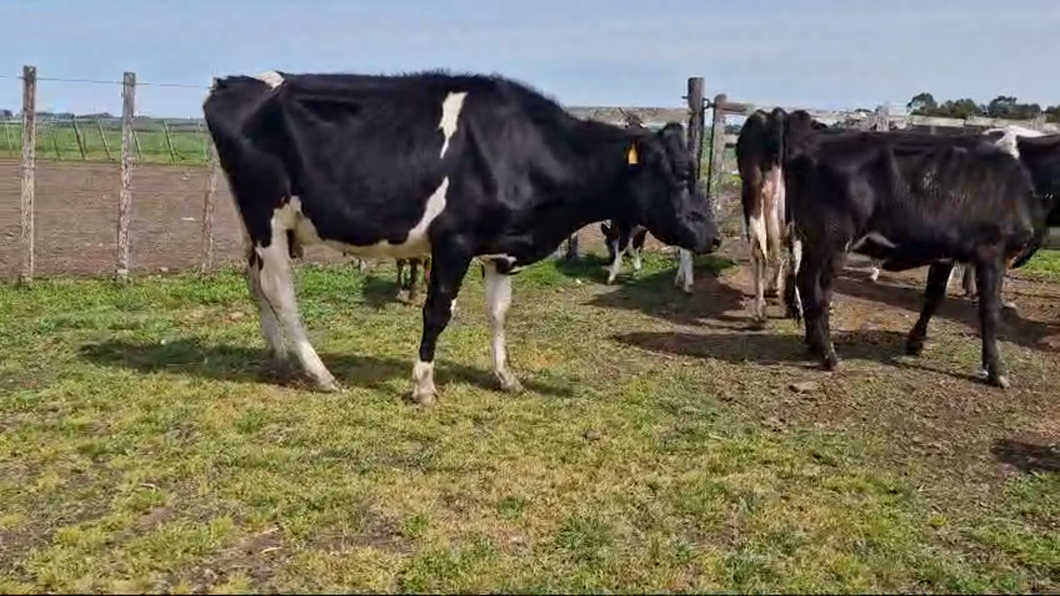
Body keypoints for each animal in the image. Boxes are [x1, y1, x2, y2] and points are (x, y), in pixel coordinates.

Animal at [203, 69, 725, 402]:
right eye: (681, 174)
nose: (714, 236)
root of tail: (230, 83)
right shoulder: (453, 242)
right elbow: (438, 313)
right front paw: (422, 384)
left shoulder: (499, 250)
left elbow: (499, 313)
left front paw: (506, 376)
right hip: (268, 218)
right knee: (281, 291)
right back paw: (320, 373)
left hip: (255, 225)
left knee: (255, 284)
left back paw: (279, 356)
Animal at [780, 125, 1051, 390]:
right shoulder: (993, 253)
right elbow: (990, 311)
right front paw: (996, 372)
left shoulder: (945, 255)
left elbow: (933, 296)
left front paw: (915, 343)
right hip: (833, 241)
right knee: (818, 290)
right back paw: (828, 356)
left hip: (812, 241)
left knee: (804, 282)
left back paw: (814, 345)